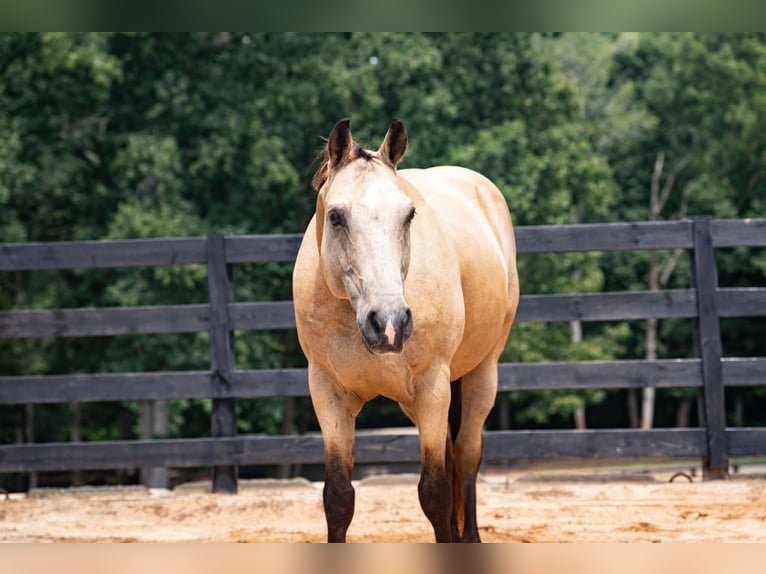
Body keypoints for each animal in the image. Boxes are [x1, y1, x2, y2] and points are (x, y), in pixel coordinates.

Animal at [292, 118, 519, 542]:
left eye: (409, 215)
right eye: (336, 216)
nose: (389, 322)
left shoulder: (432, 386)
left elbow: (434, 492)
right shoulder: (327, 392)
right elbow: (338, 497)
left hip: (482, 373)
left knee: (466, 456)